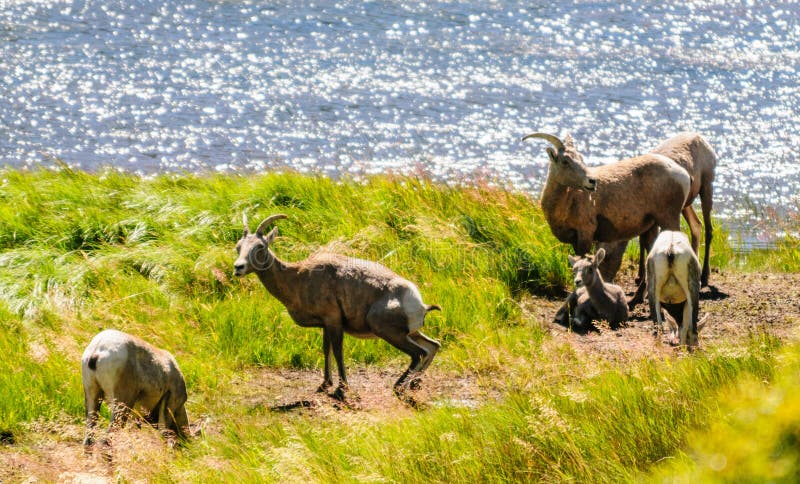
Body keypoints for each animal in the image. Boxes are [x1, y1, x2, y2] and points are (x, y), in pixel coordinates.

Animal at [231, 214, 444, 398]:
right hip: (411, 333)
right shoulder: (326, 324)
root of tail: (420, 304)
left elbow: (338, 351)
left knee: (419, 353)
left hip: (389, 332)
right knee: (433, 346)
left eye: (260, 246)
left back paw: (399, 386)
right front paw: (325, 384)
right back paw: (415, 384)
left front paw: (342, 388)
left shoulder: (334, 321)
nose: (238, 268)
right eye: (238, 246)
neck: (298, 277)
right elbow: (326, 350)